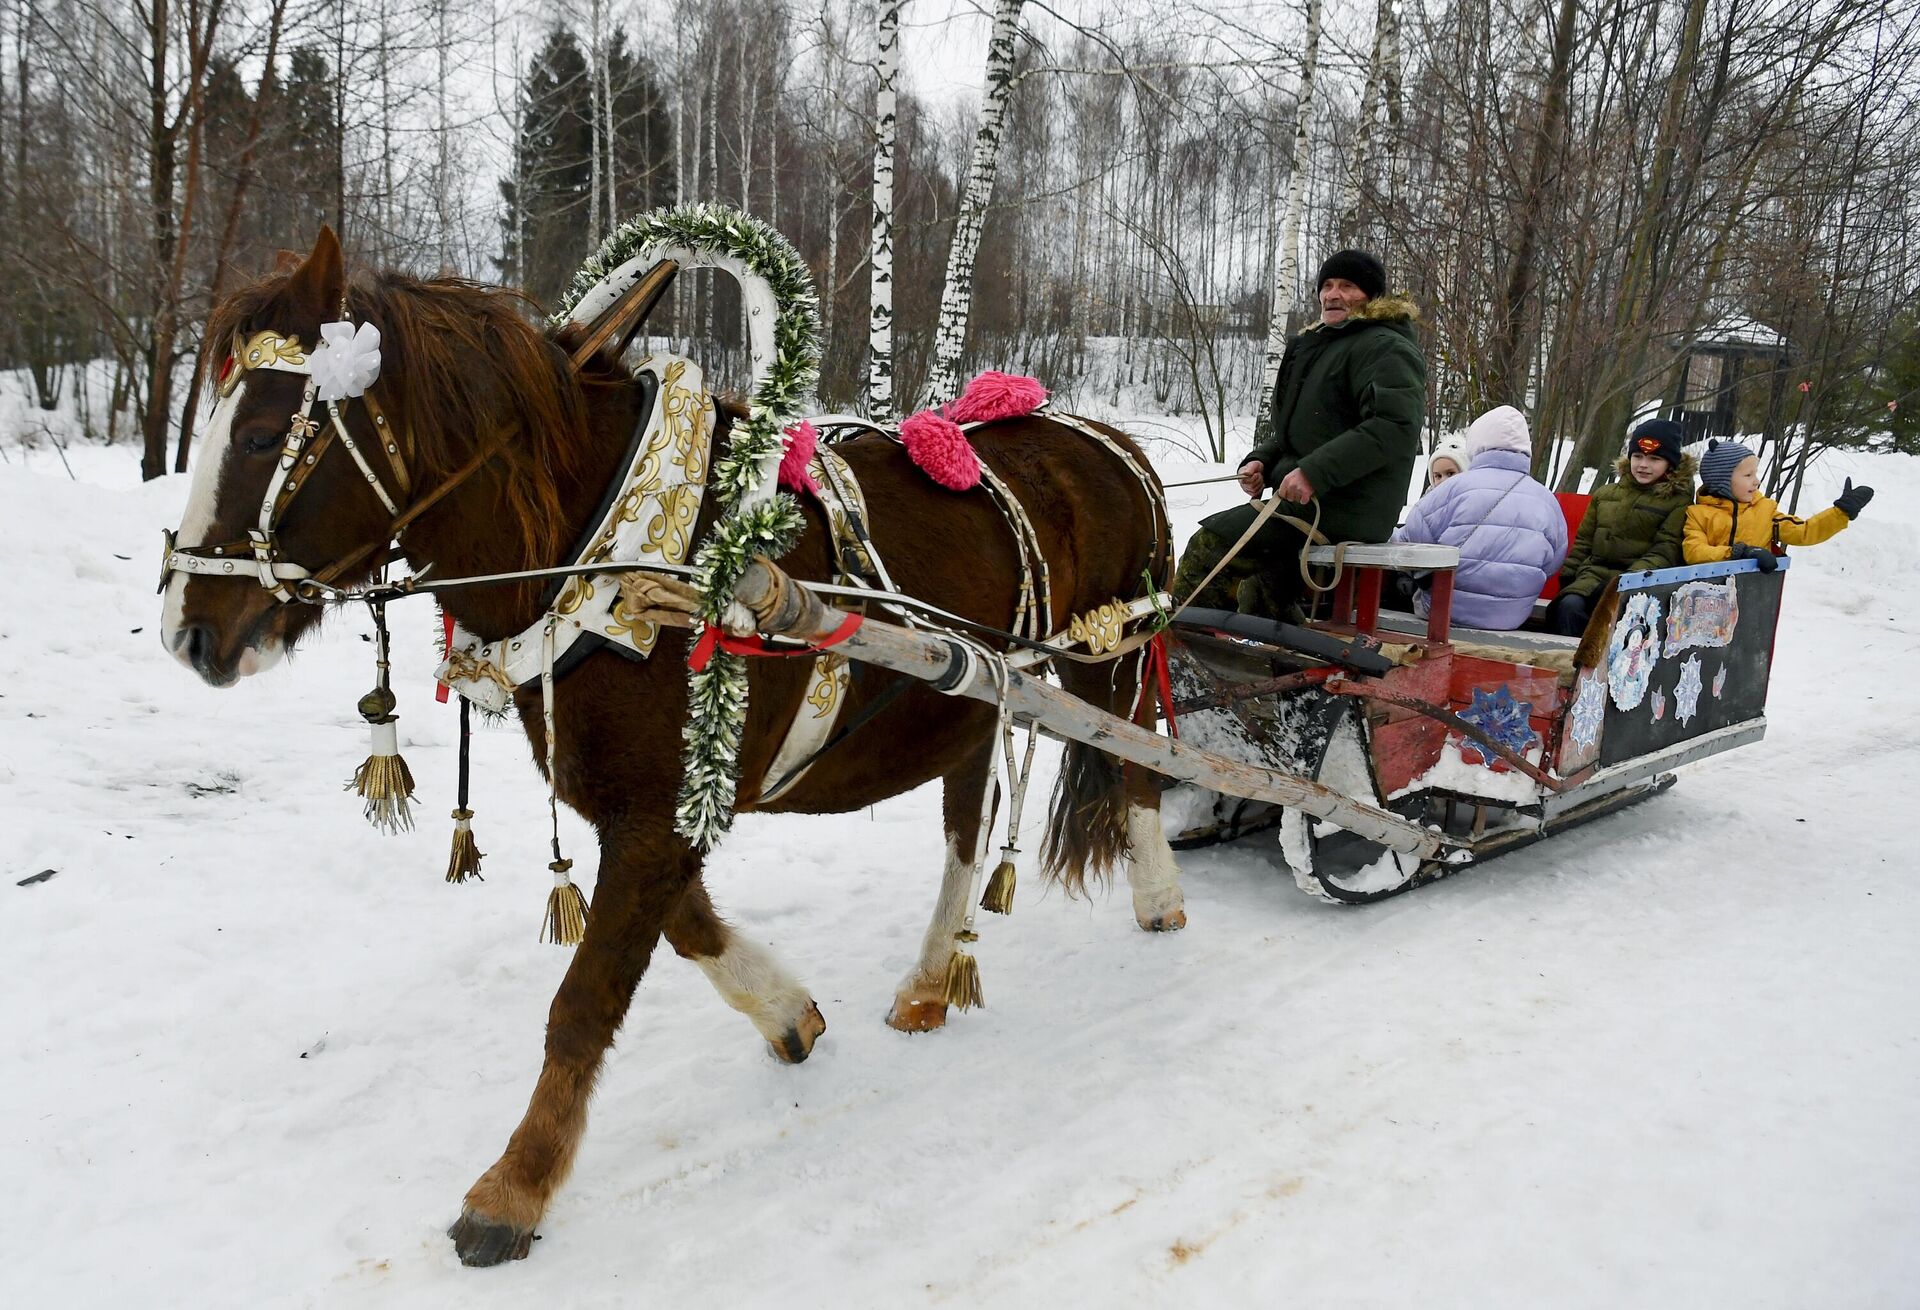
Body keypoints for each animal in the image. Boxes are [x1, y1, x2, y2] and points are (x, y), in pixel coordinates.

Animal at [161, 229, 1182, 1260]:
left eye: (260, 436)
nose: (187, 634)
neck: (620, 553)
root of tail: (1116, 443)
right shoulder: (650, 806)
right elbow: (687, 927)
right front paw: (791, 1015)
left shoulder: (664, 813)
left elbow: (584, 1001)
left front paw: (514, 1187)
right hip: (969, 690)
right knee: (968, 822)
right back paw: (934, 978)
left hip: (1107, 659)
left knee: (1137, 768)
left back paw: (1159, 900)